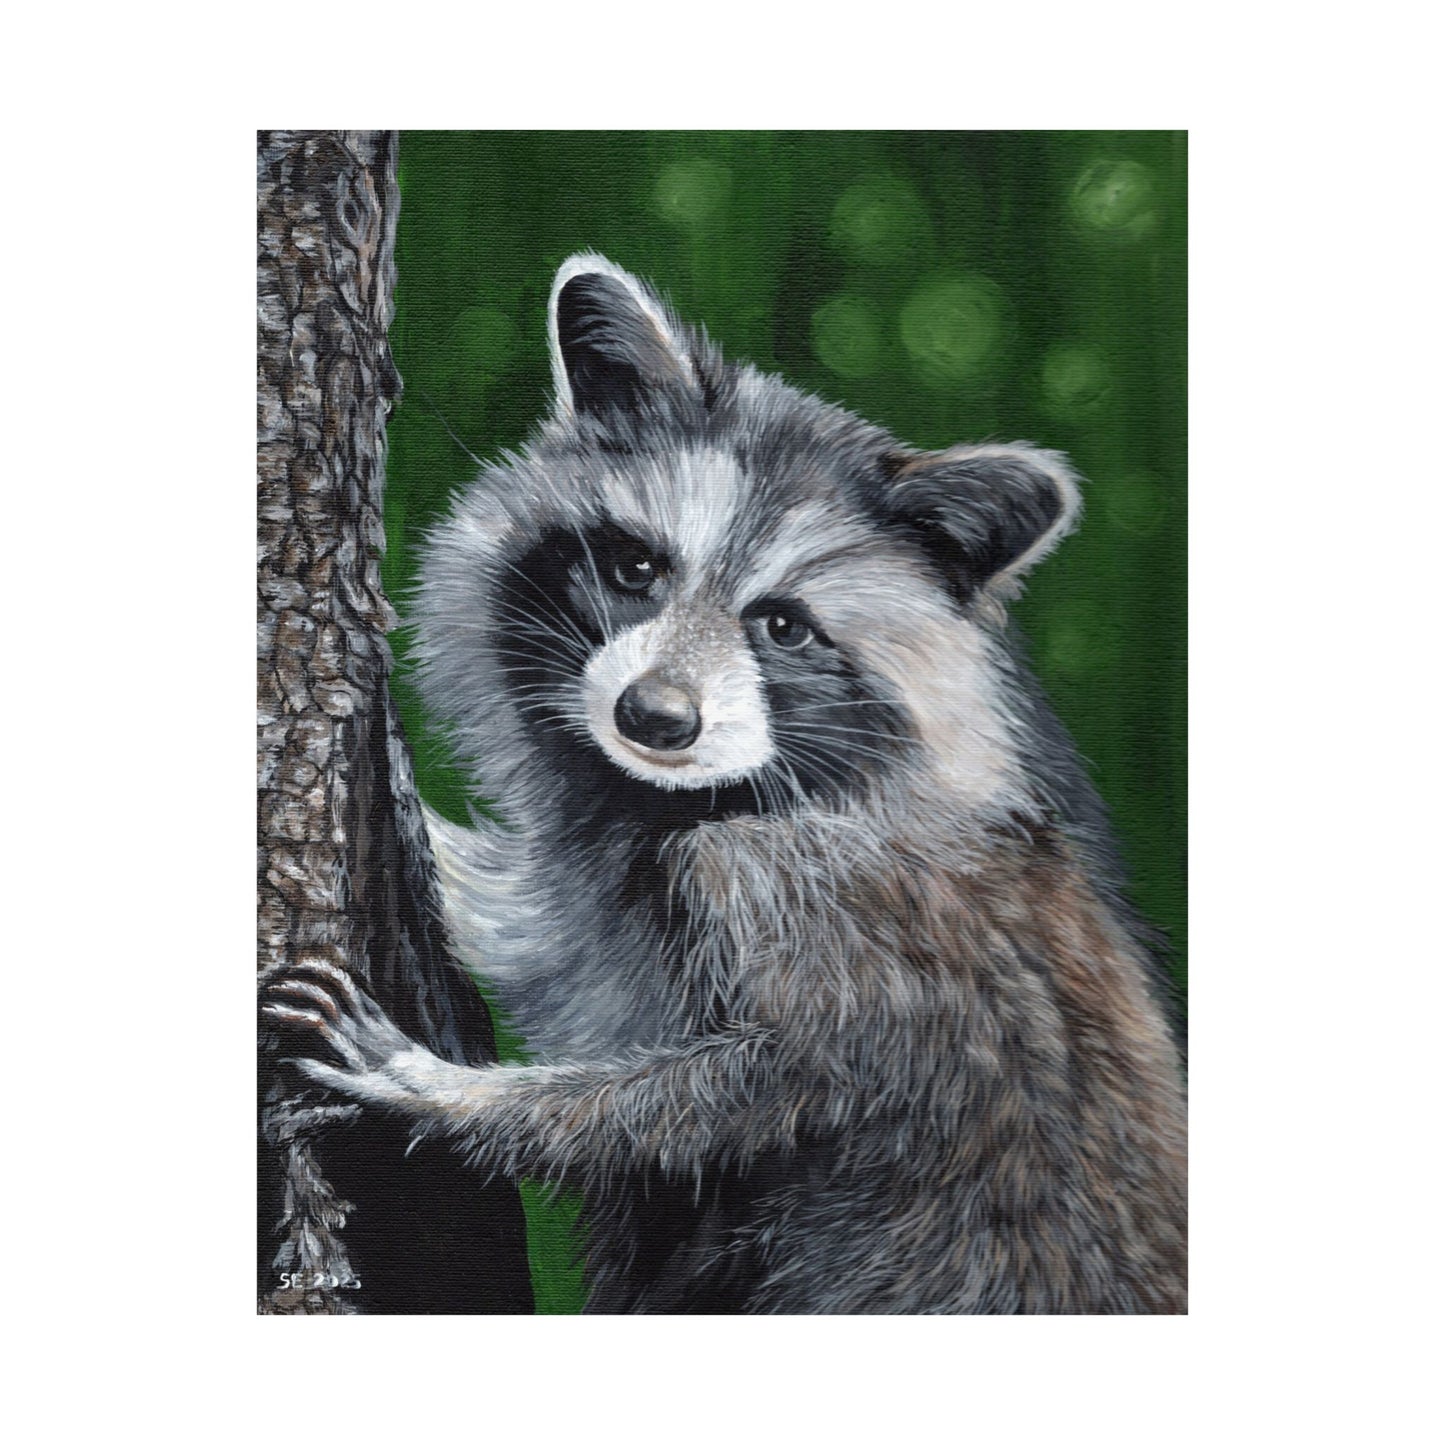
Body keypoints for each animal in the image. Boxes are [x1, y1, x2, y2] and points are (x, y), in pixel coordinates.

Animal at [263, 253, 1187, 1313]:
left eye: (783, 626)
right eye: (635, 567)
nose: (654, 718)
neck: (684, 798)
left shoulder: (827, 903)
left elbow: (750, 1089)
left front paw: (443, 1090)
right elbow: (544, 932)